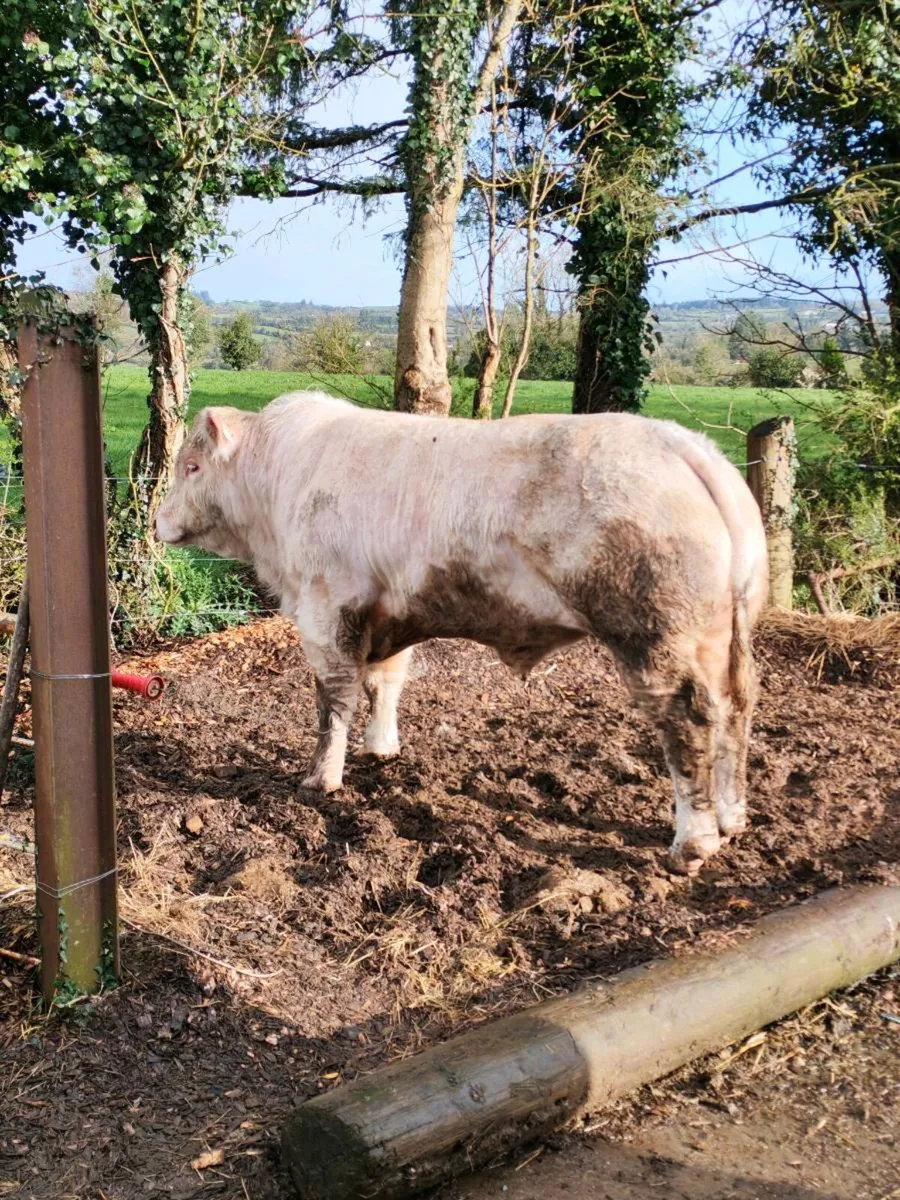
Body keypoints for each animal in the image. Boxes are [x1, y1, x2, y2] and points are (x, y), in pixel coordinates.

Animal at [155, 393, 768, 875]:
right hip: (722, 636)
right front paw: (381, 748)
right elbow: (385, 681)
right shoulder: (384, 614)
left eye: (192, 466)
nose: (157, 521)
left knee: (690, 721)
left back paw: (692, 843)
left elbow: (334, 702)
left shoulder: (328, 609)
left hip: (654, 636)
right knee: (736, 706)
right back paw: (733, 816)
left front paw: (319, 781)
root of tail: (680, 443)